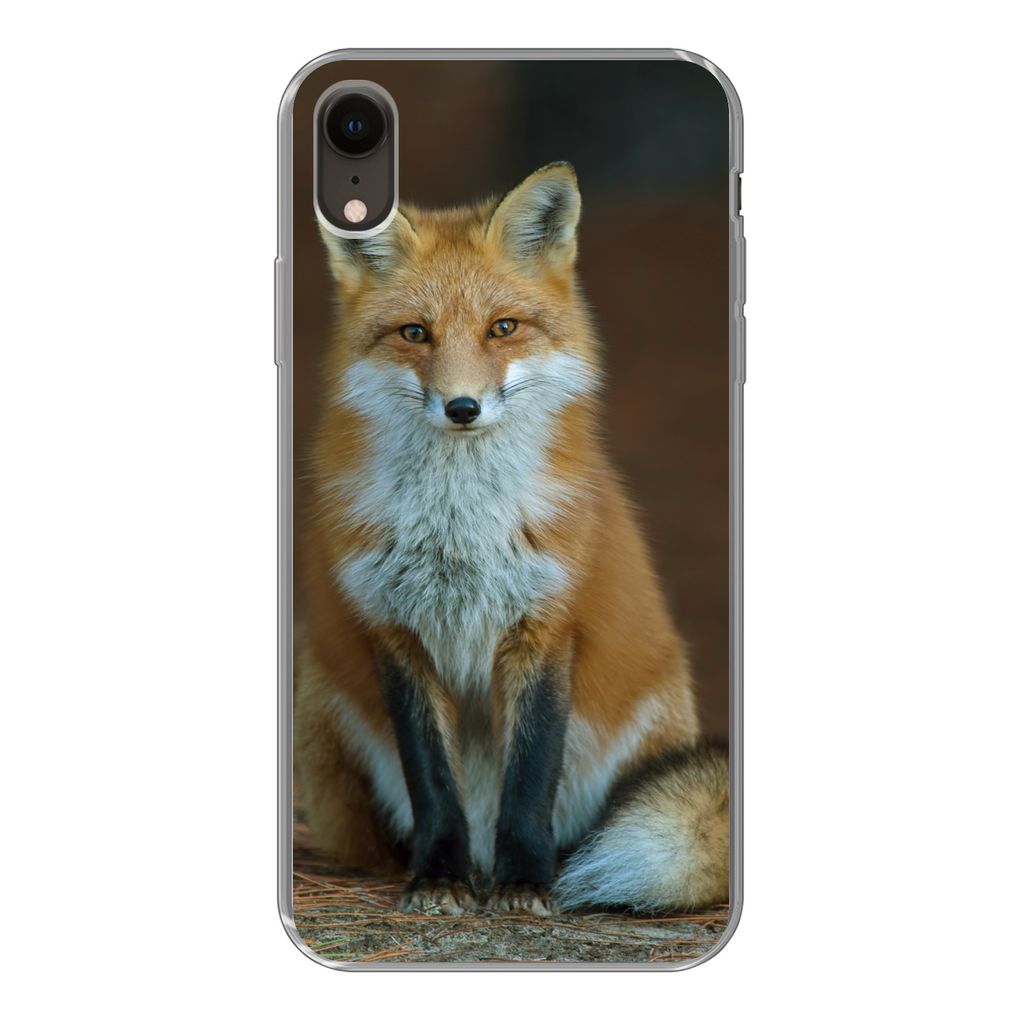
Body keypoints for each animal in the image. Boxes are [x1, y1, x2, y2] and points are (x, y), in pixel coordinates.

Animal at [295, 162, 729, 917]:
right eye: (415, 333)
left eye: (503, 328)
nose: (462, 407)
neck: (458, 529)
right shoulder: (395, 632)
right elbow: (433, 783)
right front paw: (439, 875)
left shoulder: (544, 625)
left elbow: (529, 777)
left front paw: (524, 881)